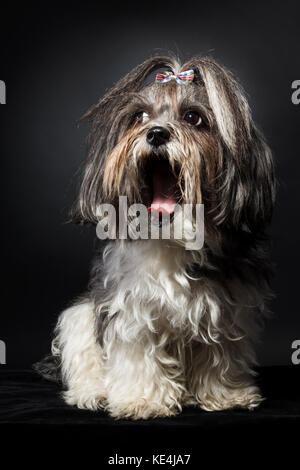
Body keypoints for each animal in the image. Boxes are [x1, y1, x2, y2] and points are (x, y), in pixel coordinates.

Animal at [35, 55, 274, 418]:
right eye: (140, 116)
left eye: (193, 117)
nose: (156, 132)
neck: (172, 239)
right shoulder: (129, 309)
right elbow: (137, 354)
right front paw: (142, 399)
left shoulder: (226, 311)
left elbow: (220, 356)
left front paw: (225, 395)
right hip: (78, 318)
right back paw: (93, 393)